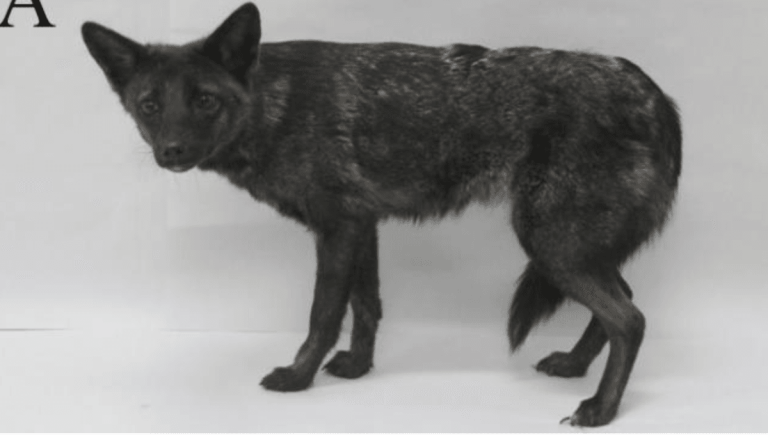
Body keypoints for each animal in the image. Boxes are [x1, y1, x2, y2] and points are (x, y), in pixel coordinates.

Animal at [81, 2, 681, 427]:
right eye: (149, 105)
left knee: (630, 318)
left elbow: (323, 313)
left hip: (551, 244)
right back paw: (575, 368)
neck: (277, 104)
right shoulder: (360, 225)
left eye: (205, 100)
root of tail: (654, 92)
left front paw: (298, 377)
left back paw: (600, 409)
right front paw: (356, 369)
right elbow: (366, 306)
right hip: (570, 248)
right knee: (623, 302)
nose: (172, 152)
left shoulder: (337, 228)